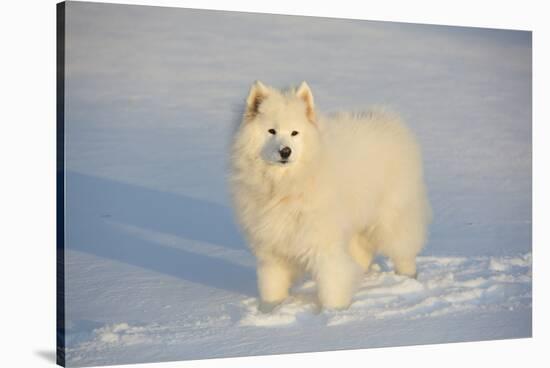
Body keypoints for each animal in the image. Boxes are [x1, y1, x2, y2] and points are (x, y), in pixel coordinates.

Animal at [231, 81, 434, 310]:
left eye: (294, 133)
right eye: (271, 131)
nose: (285, 151)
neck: (286, 186)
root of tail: (390, 120)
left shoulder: (323, 242)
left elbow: (331, 283)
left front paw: (334, 312)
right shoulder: (272, 247)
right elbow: (272, 286)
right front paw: (272, 309)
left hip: (392, 219)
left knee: (404, 251)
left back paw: (408, 279)